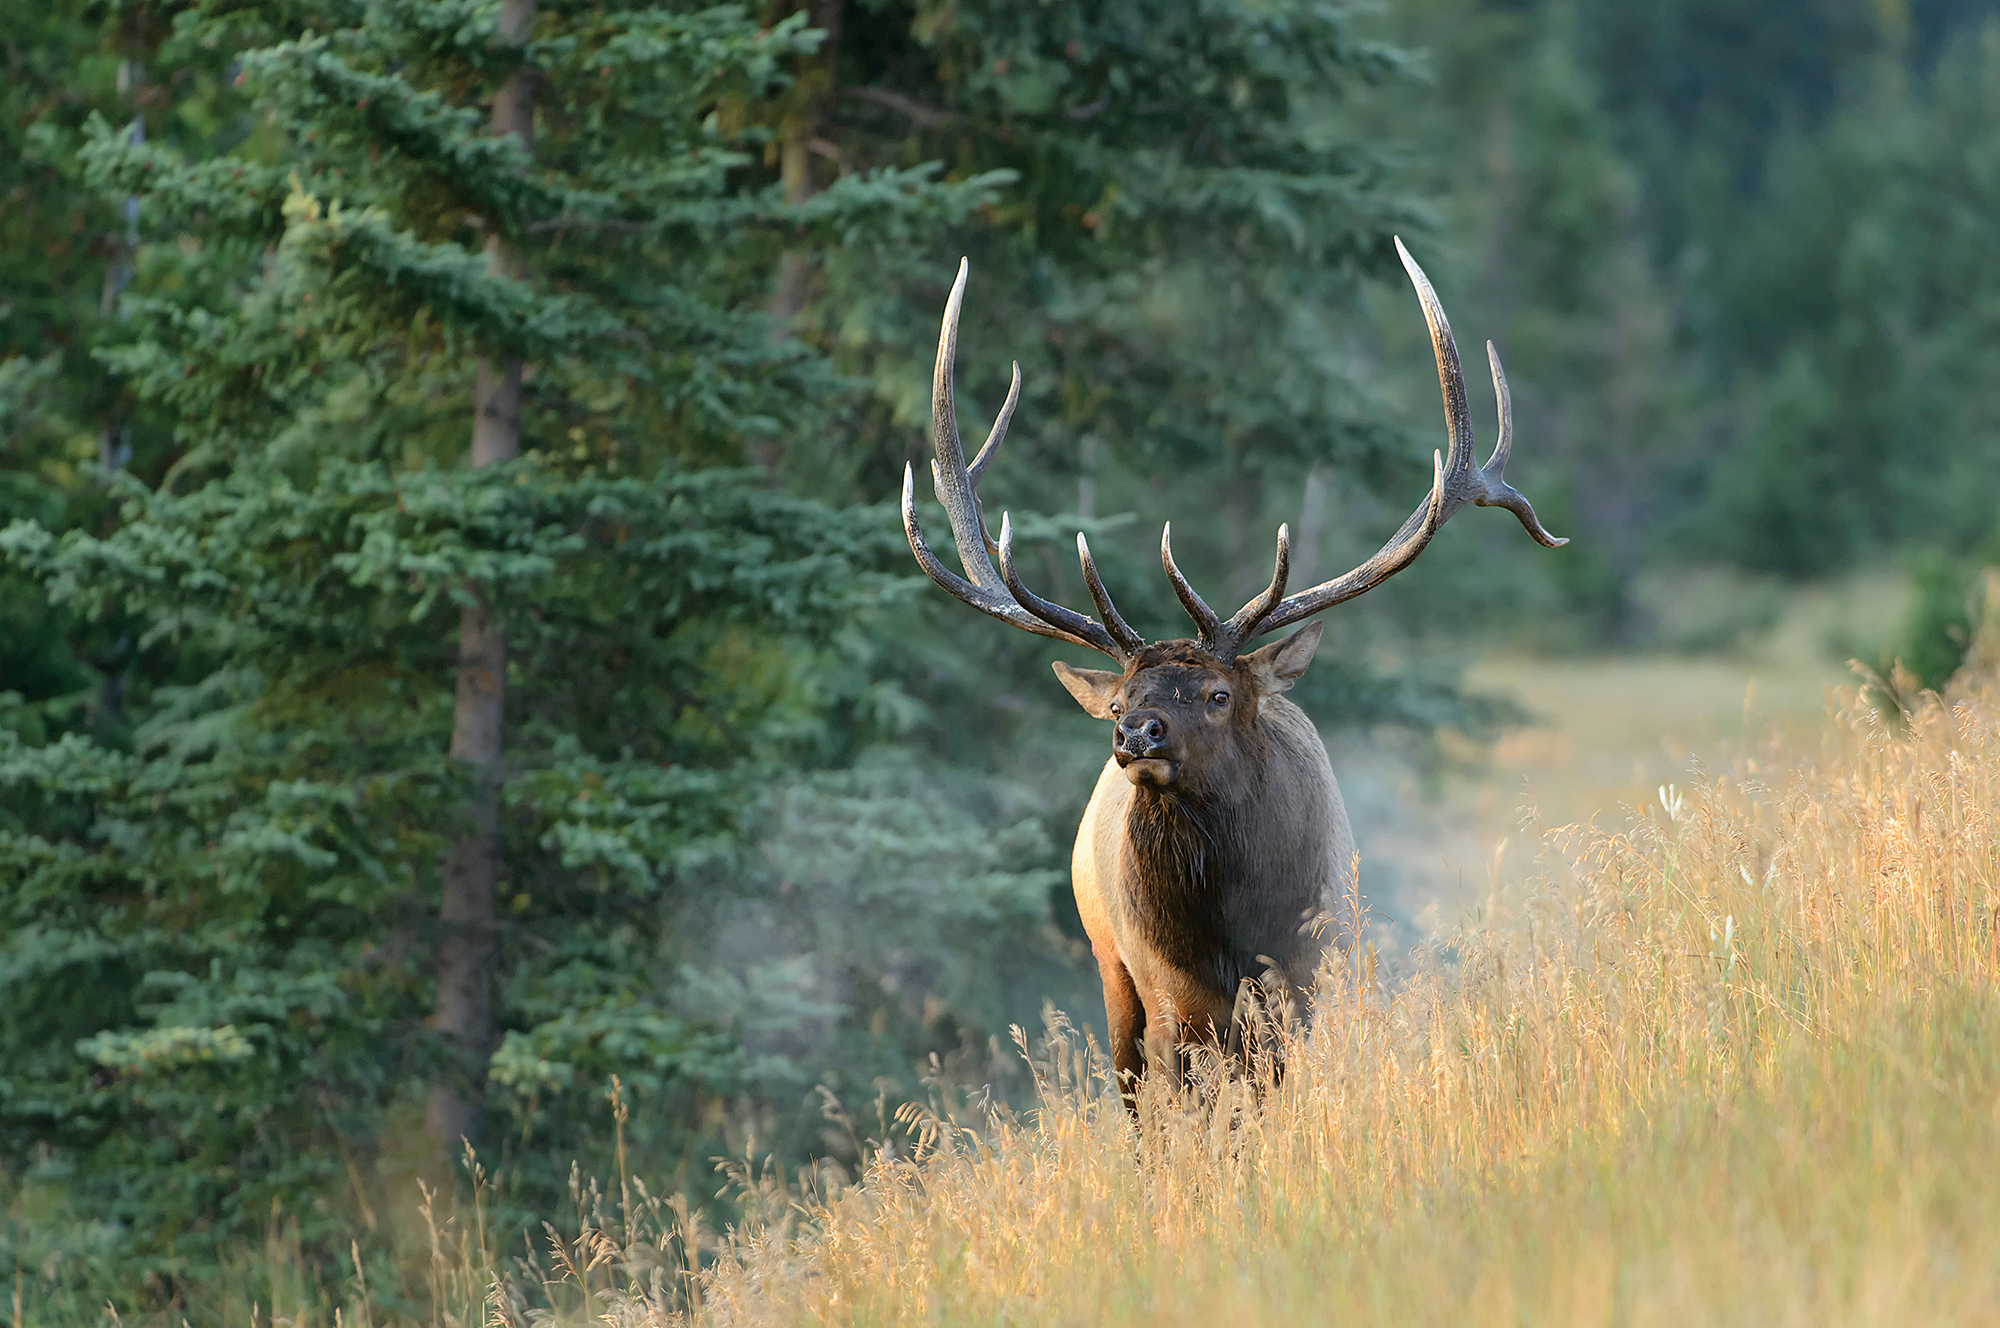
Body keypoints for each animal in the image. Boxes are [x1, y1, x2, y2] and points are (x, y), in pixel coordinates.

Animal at [900, 241, 1568, 1096]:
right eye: (1117, 701)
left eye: (1218, 694)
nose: (1137, 735)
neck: (1233, 931)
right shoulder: (1171, 1000)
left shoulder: (1310, 977)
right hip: (1111, 968)